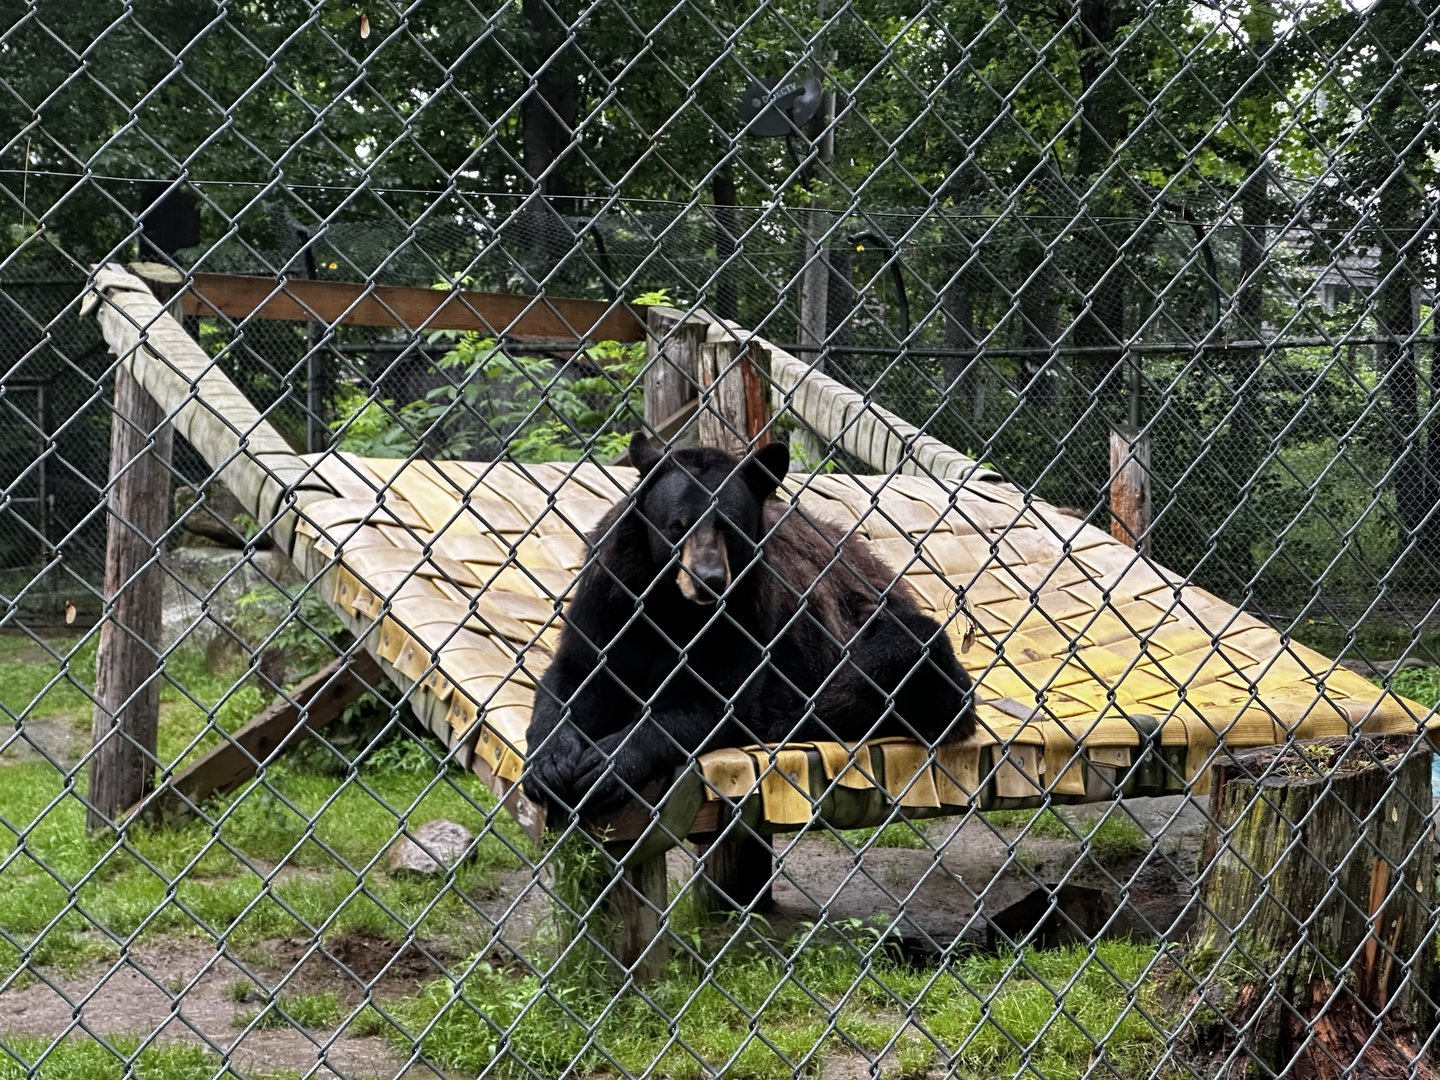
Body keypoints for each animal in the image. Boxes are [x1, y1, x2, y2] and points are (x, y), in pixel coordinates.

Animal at [523, 432, 978, 814]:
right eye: (677, 526)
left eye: (729, 527)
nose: (709, 579)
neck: (674, 609)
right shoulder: (611, 595)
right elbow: (576, 673)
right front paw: (549, 763)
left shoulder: (746, 616)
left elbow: (710, 704)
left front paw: (606, 765)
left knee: (908, 651)